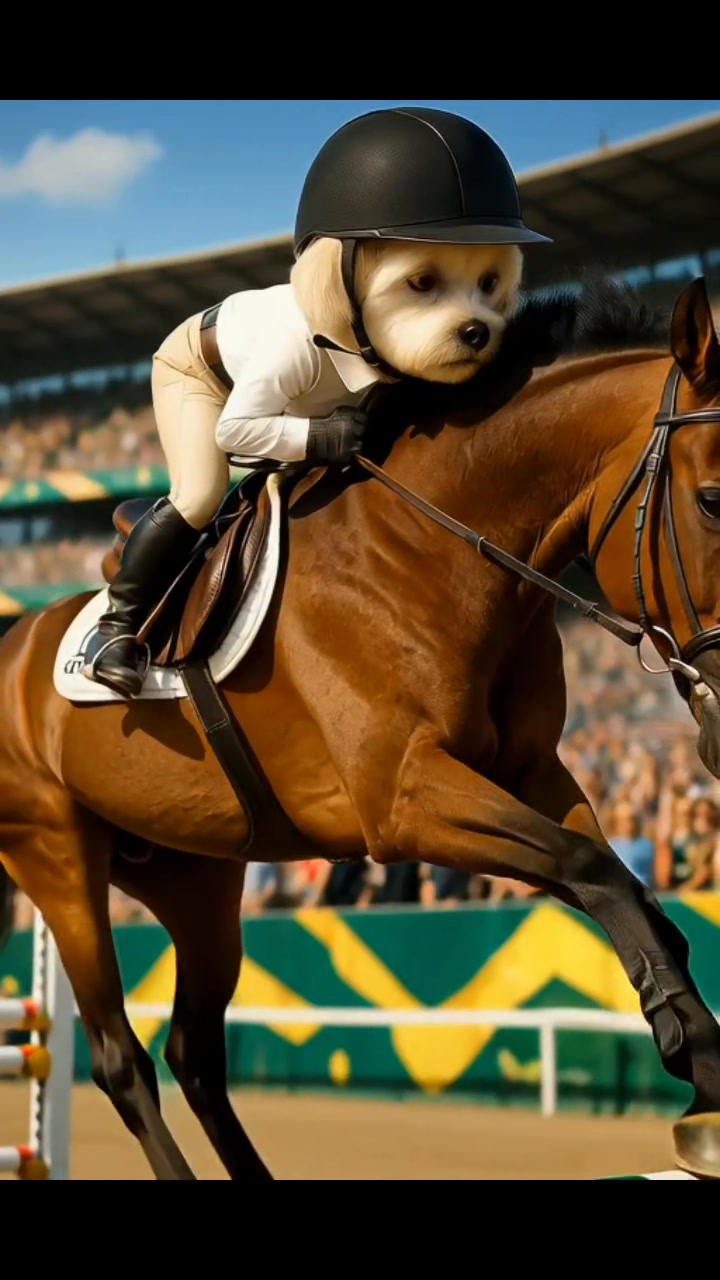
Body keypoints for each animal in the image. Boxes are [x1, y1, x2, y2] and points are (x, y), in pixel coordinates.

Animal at [2, 274, 720, 1182]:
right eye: (714, 500)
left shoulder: (532, 772)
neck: (434, 546)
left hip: (196, 877)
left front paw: (701, 1069)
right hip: (58, 859)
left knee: (196, 1053)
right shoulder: (403, 799)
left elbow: (628, 888)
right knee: (119, 1059)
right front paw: (694, 1056)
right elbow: (592, 868)